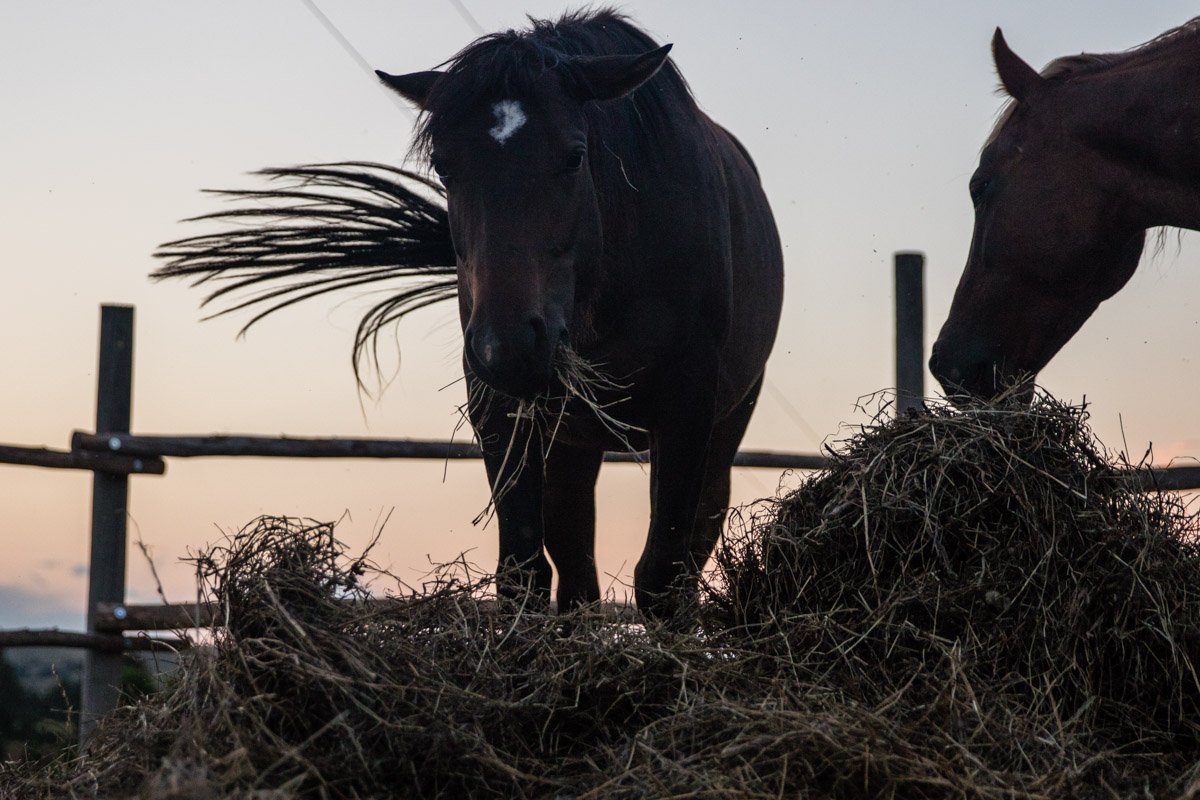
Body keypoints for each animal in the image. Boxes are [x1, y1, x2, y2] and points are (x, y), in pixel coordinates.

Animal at [154, 9, 782, 618]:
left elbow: (662, 579)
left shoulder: (687, 411)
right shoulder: (502, 413)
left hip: (722, 425)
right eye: (444, 166)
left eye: (575, 156)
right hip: (572, 441)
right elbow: (523, 574)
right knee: (577, 570)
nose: (508, 346)